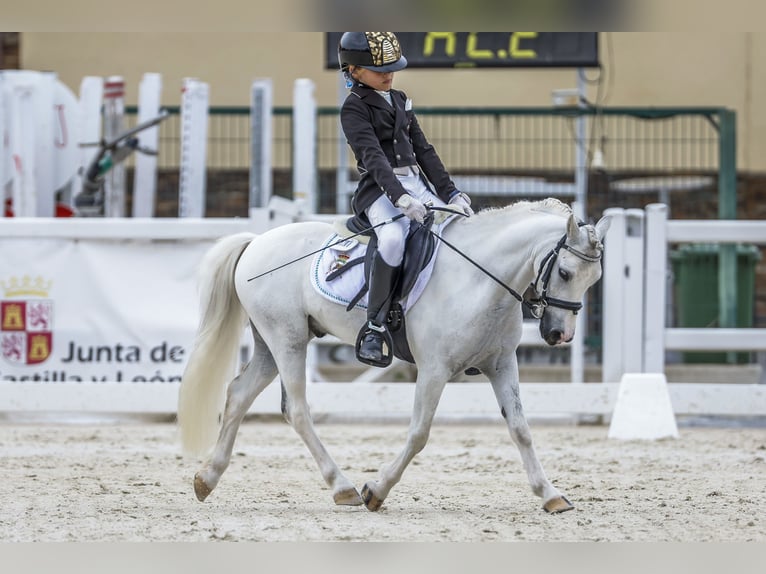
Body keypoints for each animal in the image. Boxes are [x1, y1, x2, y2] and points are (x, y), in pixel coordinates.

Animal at [177, 198, 611, 514]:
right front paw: (377, 490)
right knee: (296, 410)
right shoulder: (434, 370)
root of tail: (255, 242)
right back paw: (344, 488)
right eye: (566, 273)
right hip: (288, 339)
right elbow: (419, 433)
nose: (560, 334)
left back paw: (207, 478)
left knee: (238, 394)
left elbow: (521, 429)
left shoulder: (502, 365)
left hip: (271, 343)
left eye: (595, 279)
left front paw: (550, 494)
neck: (479, 278)